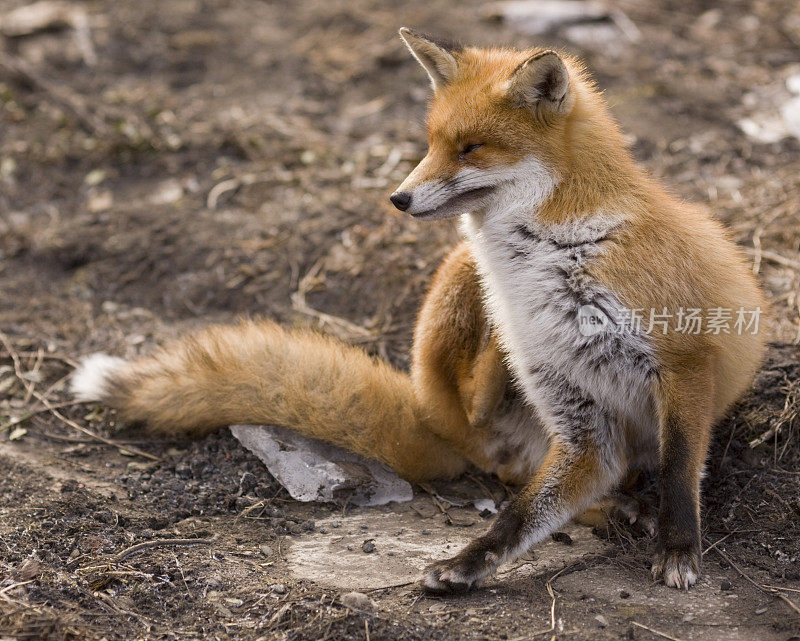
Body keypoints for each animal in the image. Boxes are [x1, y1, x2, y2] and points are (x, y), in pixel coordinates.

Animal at [72, 28, 764, 592]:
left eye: (472, 148)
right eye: (431, 143)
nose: (398, 199)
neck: (562, 251)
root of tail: (434, 422)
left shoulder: (683, 362)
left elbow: (679, 468)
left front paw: (679, 549)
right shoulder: (577, 410)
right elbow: (522, 515)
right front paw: (469, 564)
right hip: (460, 291)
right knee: (498, 447)